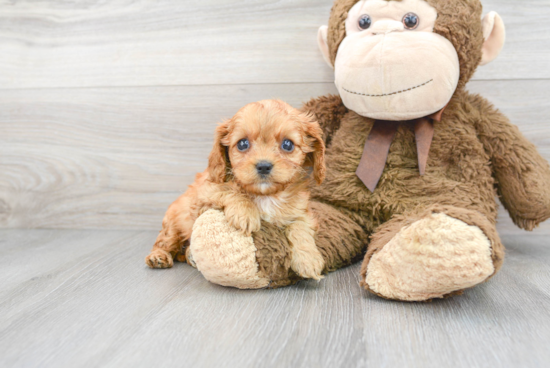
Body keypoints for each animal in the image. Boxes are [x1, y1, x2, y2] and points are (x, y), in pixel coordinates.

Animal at [146, 99, 328, 280]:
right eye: (242, 143)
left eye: (287, 144)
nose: (263, 166)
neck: (265, 196)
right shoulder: (203, 194)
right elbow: (228, 190)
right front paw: (245, 214)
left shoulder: (301, 211)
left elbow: (300, 227)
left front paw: (308, 259)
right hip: (173, 224)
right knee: (164, 241)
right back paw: (158, 256)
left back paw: (190, 255)